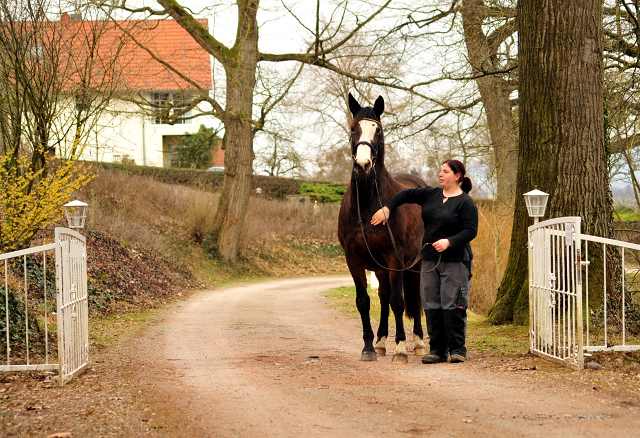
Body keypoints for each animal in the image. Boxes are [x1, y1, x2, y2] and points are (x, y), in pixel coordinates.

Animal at [338, 93, 428, 362]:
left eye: (377, 129)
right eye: (353, 128)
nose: (363, 164)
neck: (369, 206)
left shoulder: (394, 258)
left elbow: (399, 301)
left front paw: (400, 348)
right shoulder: (354, 259)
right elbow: (364, 301)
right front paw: (369, 346)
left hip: (415, 264)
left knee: (413, 297)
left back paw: (418, 342)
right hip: (380, 269)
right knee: (384, 296)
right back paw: (380, 341)